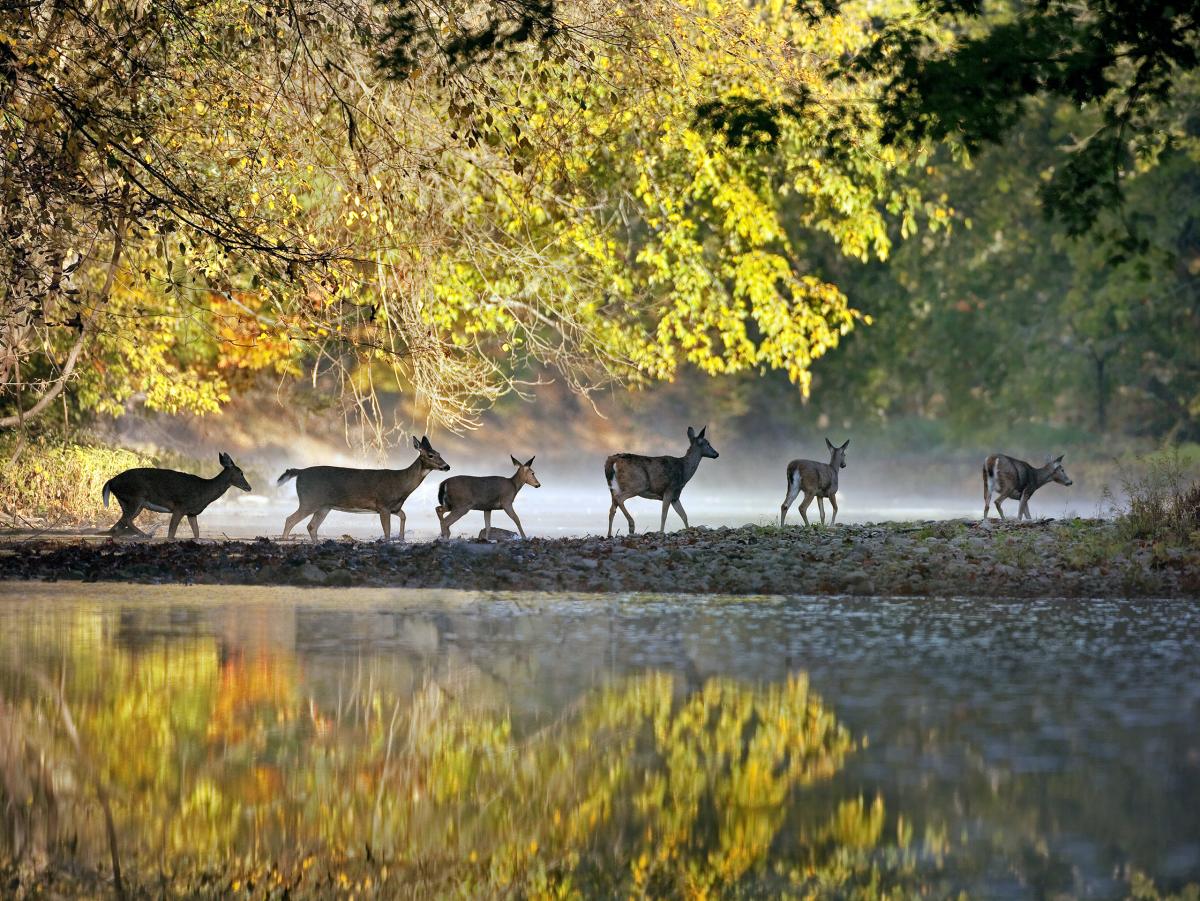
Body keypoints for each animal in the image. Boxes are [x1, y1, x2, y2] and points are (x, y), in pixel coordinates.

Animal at [102, 448, 252, 535]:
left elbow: (197, 534)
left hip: (128, 501)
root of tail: (111, 481)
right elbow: (171, 534)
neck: (204, 491)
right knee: (126, 521)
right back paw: (146, 535)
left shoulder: (192, 513)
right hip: (135, 497)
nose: (249, 487)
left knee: (119, 524)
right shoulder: (180, 507)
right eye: (241, 472)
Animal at [276, 436, 451, 542]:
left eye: (439, 453)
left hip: (324, 506)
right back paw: (284, 541)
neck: (401, 484)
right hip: (310, 500)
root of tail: (300, 472)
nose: (447, 466)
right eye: (430, 455)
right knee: (290, 519)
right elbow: (387, 531)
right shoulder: (383, 505)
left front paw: (401, 538)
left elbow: (403, 516)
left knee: (311, 526)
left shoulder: (394, 507)